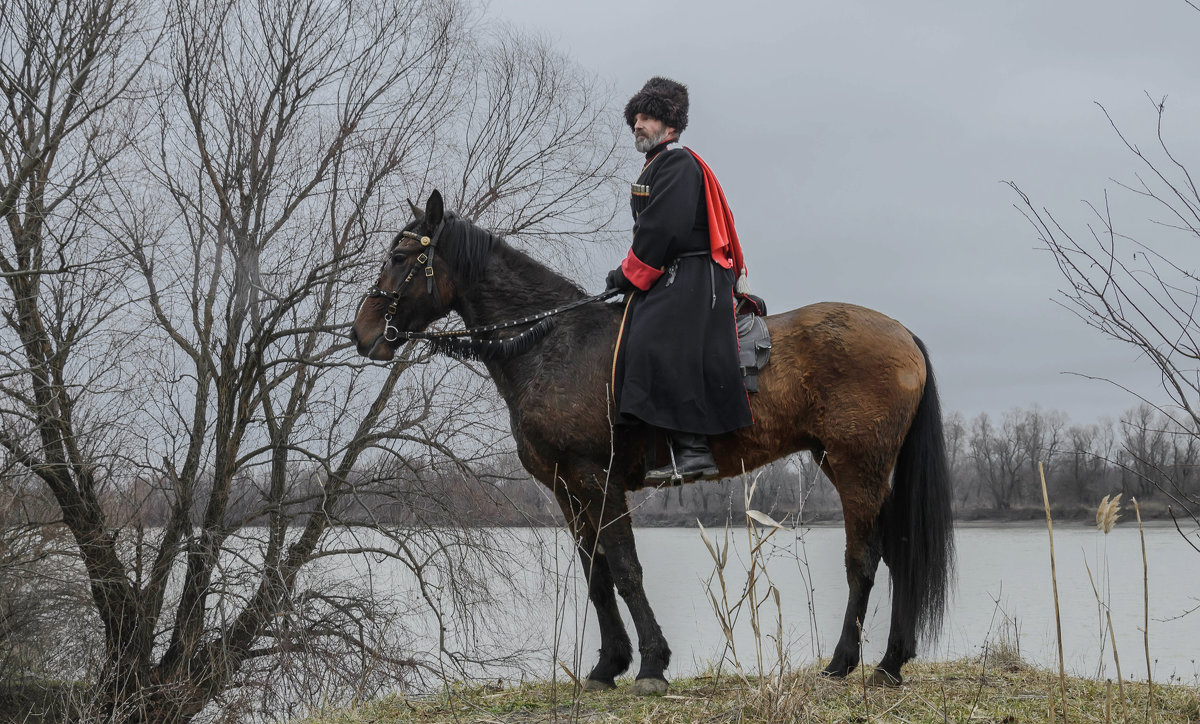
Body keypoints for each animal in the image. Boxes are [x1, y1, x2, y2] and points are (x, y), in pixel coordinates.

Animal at [350, 189, 950, 696]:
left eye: (401, 256)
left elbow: (625, 568)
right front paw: (607, 665)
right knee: (896, 552)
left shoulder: (598, 478)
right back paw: (890, 662)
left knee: (864, 559)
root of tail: (902, 333)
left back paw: (847, 661)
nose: (362, 333)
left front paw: (651, 664)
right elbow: (596, 575)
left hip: (857, 468)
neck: (555, 343)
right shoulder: (567, 489)